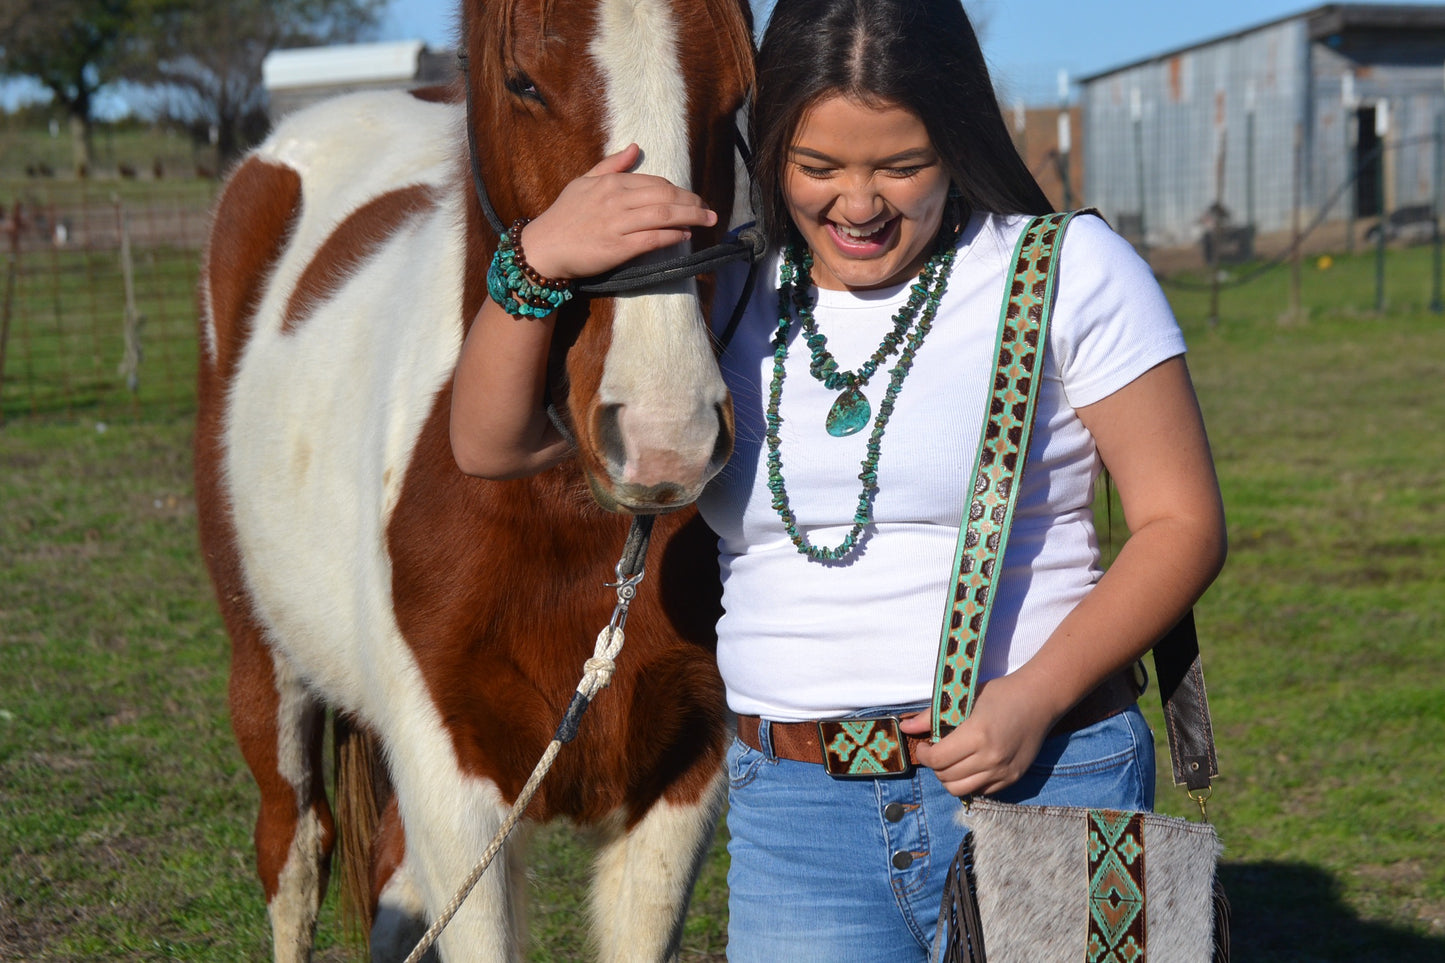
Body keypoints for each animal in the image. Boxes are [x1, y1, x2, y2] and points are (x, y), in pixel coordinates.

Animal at [193, 3, 751, 954]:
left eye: (740, 88)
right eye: (522, 82)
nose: (662, 433)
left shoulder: (684, 776)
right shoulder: (448, 782)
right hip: (264, 667)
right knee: (295, 857)